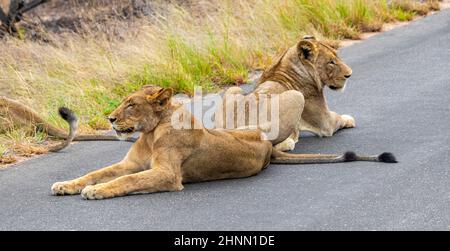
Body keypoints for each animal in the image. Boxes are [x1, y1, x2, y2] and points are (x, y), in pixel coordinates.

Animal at [51, 86, 394, 200]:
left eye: (131, 105)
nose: (109, 119)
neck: (150, 132)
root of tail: (269, 149)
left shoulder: (167, 175)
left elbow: (128, 182)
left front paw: (95, 191)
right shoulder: (130, 163)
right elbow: (96, 173)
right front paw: (67, 185)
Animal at [214, 34, 356, 151]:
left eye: (337, 57)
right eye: (331, 62)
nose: (349, 74)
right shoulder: (325, 123)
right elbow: (338, 118)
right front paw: (349, 119)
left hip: (234, 89)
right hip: (296, 97)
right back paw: (289, 142)